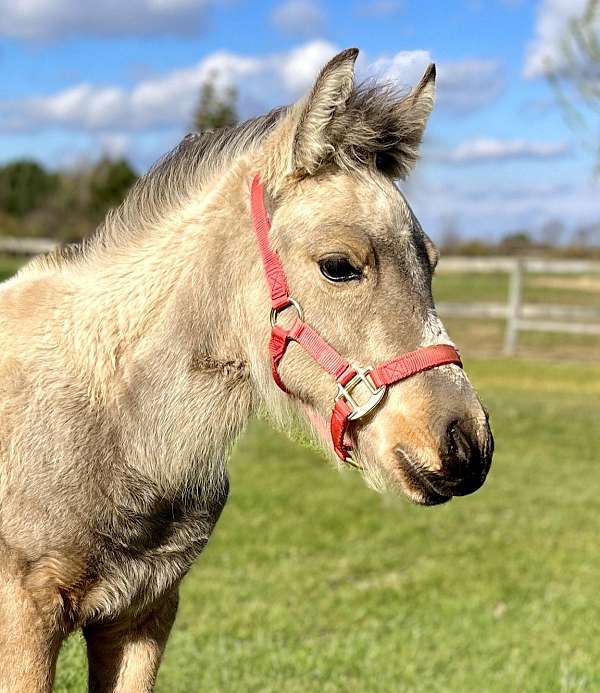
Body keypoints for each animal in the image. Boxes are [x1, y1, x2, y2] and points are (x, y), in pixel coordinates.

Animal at [0, 48, 492, 692]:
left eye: (430, 263)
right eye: (338, 265)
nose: (465, 444)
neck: (115, 424)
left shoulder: (144, 613)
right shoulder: (25, 618)